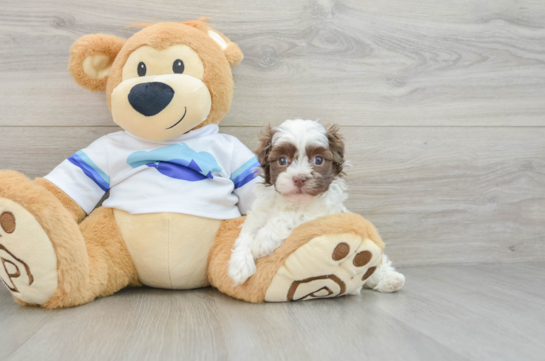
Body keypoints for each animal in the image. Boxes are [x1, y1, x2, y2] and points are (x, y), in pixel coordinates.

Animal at [226, 118, 404, 292]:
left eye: (318, 160)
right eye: (282, 160)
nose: (299, 178)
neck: (293, 201)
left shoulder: (320, 214)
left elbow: (290, 215)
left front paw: (263, 240)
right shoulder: (259, 214)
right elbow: (247, 233)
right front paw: (239, 266)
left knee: (377, 268)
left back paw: (390, 280)